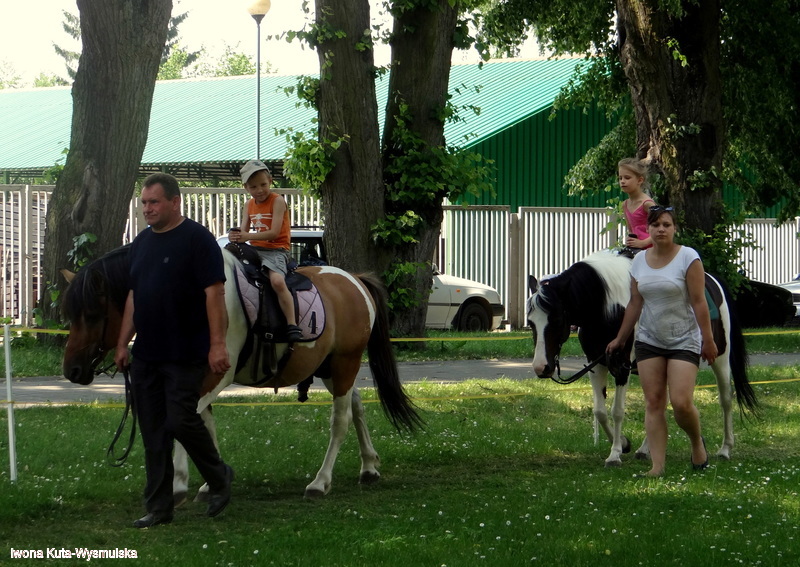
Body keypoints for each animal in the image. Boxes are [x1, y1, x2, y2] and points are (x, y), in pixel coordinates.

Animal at [61, 244, 422, 503]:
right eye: (70, 314)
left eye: (92, 313)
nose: (72, 369)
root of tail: (355, 279)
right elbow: (201, 424)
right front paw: (211, 480)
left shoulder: (215, 375)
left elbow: (184, 422)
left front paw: (181, 483)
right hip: (332, 367)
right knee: (356, 405)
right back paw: (369, 466)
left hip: (346, 361)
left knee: (341, 420)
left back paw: (321, 481)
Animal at [526, 250, 757, 467]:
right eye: (530, 322)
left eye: (557, 320)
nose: (541, 367)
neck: (608, 307)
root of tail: (713, 281)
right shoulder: (596, 364)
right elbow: (600, 411)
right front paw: (624, 444)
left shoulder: (621, 366)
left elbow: (617, 411)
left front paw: (615, 454)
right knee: (660, 402)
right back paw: (646, 449)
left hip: (720, 358)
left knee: (726, 400)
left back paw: (725, 449)